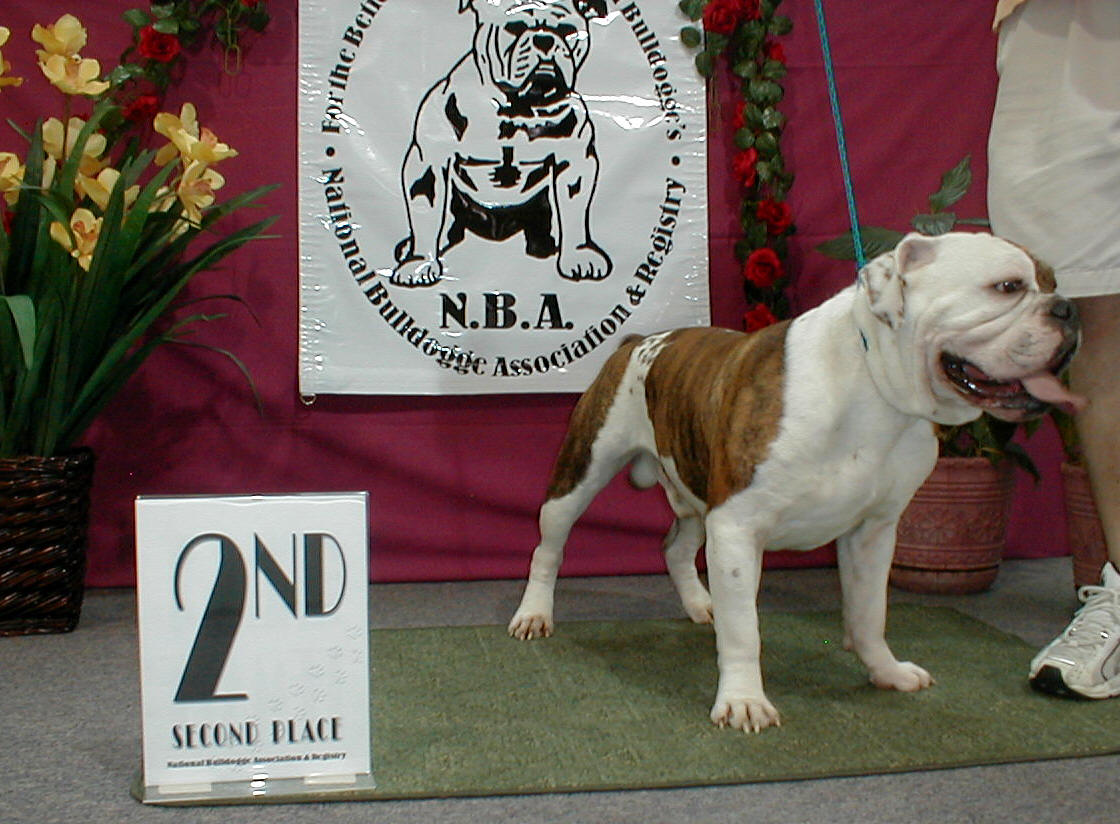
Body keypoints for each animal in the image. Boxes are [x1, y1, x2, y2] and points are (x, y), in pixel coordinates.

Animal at [392, 0, 612, 287]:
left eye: (566, 30)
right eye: (515, 27)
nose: (544, 40)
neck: (519, 108)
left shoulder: (575, 164)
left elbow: (575, 214)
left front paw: (579, 254)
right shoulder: (428, 163)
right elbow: (424, 214)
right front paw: (419, 262)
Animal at [509, 232, 1084, 732]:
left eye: (1054, 281)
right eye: (1007, 287)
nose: (1069, 309)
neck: (873, 387)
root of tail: (636, 341)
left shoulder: (874, 531)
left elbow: (870, 611)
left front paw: (885, 671)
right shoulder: (738, 525)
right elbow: (746, 630)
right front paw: (743, 700)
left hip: (696, 491)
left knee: (676, 546)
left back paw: (700, 603)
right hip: (581, 473)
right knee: (549, 548)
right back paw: (534, 614)